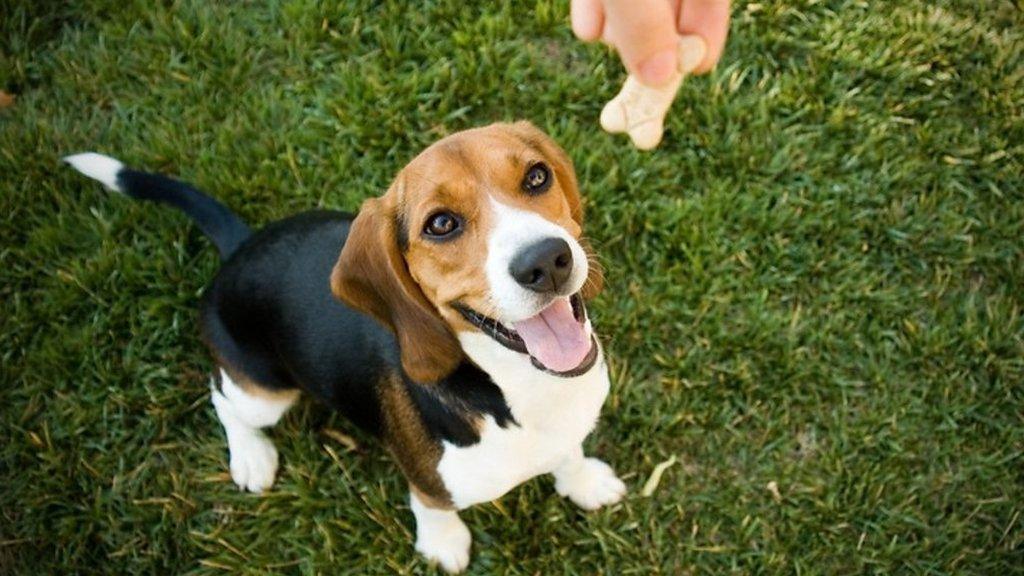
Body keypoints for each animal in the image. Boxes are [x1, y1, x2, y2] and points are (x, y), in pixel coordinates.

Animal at [66, 120, 622, 569]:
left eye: (536, 177)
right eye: (441, 224)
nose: (546, 260)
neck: (520, 387)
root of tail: (240, 248)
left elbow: (569, 454)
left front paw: (583, 482)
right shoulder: (428, 480)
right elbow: (432, 505)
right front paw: (443, 544)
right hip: (265, 393)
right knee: (222, 396)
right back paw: (251, 455)